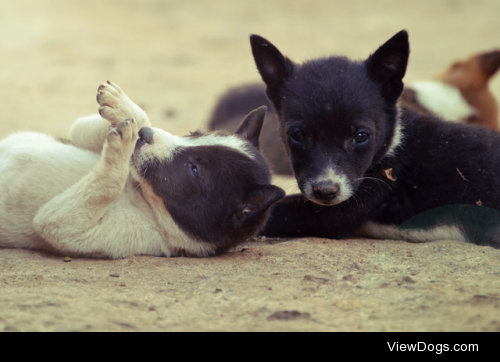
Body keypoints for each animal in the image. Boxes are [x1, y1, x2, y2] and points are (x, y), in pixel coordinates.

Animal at [0, 82, 284, 258]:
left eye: (194, 170)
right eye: (194, 134)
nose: (145, 136)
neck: (141, 193)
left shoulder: (66, 227)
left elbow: (103, 187)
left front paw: (124, 140)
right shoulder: (79, 135)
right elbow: (96, 126)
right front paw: (123, 111)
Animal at [226, 31, 500, 247]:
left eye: (361, 136)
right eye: (296, 136)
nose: (325, 191)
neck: (393, 142)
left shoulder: (337, 211)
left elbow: (276, 210)